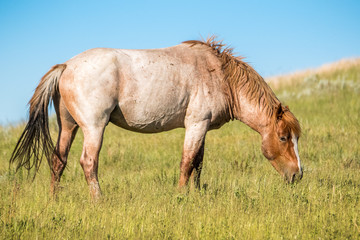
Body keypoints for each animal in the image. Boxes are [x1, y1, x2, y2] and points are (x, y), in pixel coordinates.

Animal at [9, 36, 300, 200]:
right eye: (283, 138)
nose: (298, 175)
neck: (218, 74)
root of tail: (66, 66)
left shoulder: (201, 128)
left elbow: (197, 164)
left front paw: (195, 195)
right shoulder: (196, 124)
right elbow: (186, 162)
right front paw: (181, 198)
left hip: (68, 127)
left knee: (58, 161)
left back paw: (54, 200)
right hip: (94, 127)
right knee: (89, 163)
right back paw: (99, 201)